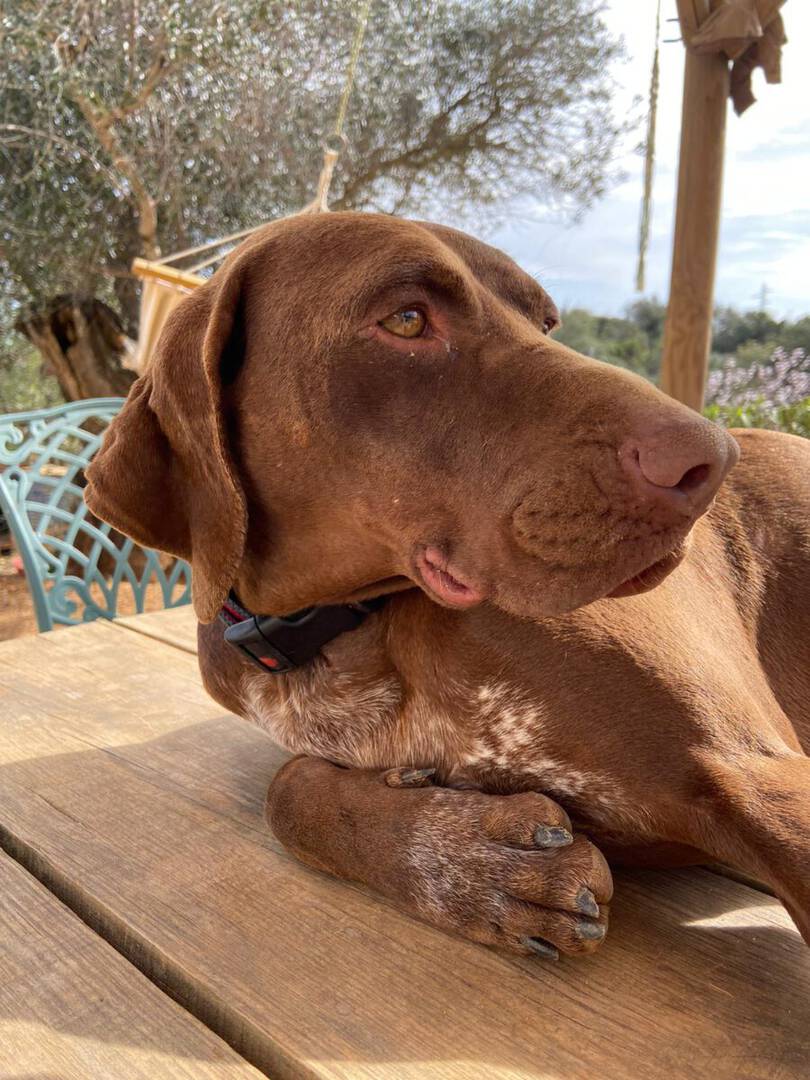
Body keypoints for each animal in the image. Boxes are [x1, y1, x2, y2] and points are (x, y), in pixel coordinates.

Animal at [86, 213, 810, 959]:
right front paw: (484, 871)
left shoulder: (757, 777)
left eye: (545, 324)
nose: (712, 459)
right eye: (407, 319)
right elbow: (287, 789)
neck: (347, 627)